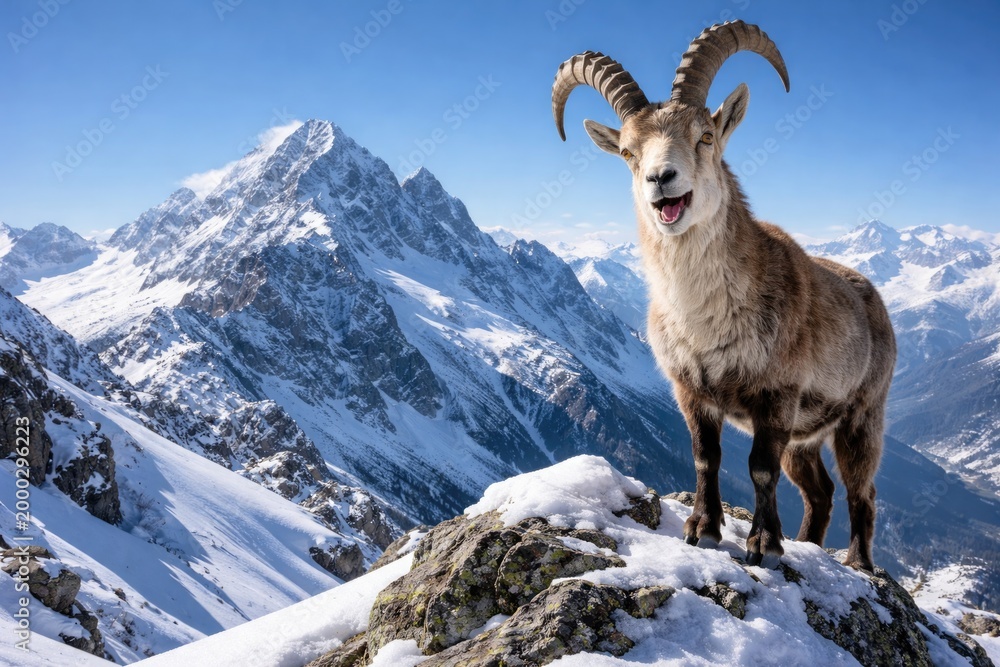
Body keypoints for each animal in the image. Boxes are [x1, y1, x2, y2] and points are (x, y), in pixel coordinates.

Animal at [551, 21, 895, 570]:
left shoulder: (776, 397)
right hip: (804, 437)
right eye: (628, 152)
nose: (661, 180)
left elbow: (759, 468)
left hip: (862, 416)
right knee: (819, 491)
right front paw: (703, 528)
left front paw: (763, 542)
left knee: (862, 491)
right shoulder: (692, 392)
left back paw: (858, 563)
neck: (705, 316)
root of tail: (874, 300)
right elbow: (705, 457)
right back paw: (808, 544)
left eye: (705, 136)